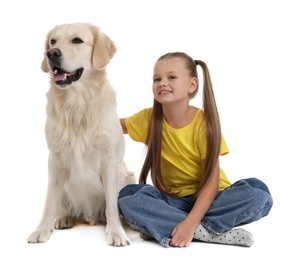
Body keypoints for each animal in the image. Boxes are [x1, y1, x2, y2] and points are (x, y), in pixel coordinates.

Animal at [27, 22, 135, 246]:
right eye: (53, 41)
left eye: (77, 40)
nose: (52, 53)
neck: (77, 103)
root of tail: (90, 216)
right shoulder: (55, 157)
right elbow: (49, 200)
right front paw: (42, 229)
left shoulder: (109, 158)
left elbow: (112, 203)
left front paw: (116, 232)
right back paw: (64, 218)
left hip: (128, 177)